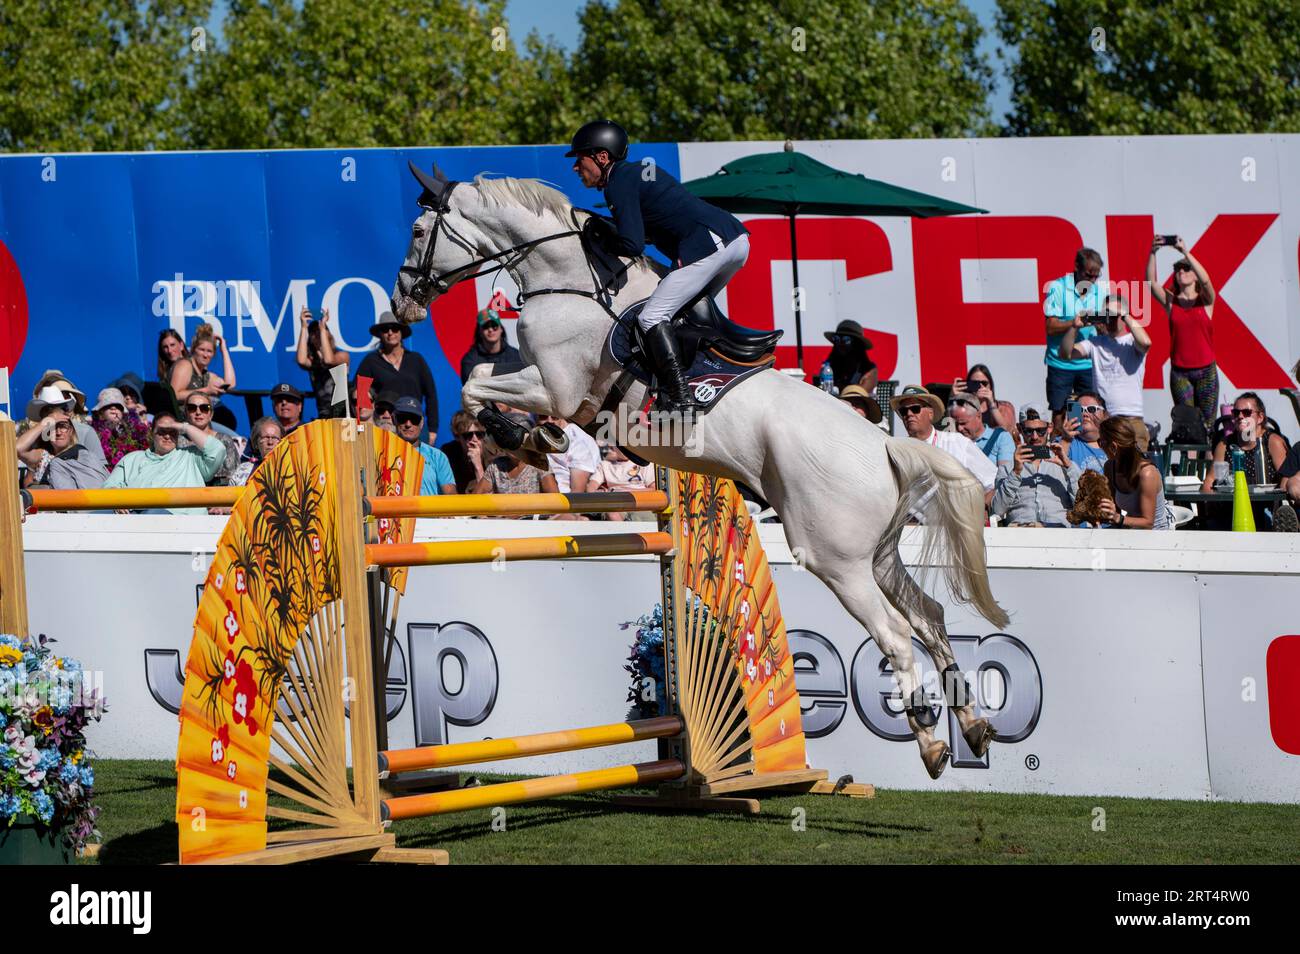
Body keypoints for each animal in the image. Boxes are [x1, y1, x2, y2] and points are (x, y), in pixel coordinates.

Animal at [390, 166, 1008, 779]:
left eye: (419, 231)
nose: (402, 303)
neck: (566, 280)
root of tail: (885, 446)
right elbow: (481, 381)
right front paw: (536, 438)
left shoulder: (558, 389)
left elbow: (476, 385)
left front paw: (532, 438)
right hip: (876, 554)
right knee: (929, 617)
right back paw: (974, 726)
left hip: (837, 561)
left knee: (897, 636)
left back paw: (931, 743)